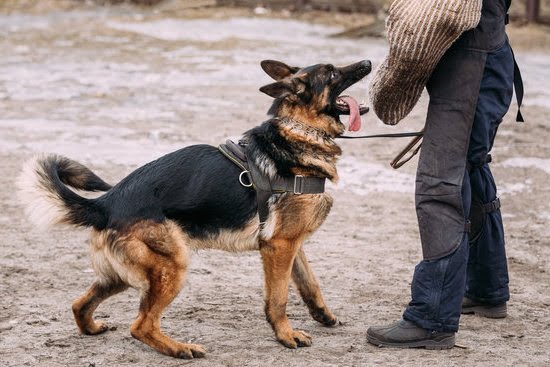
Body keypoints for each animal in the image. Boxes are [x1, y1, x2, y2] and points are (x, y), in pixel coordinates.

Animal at [17, 59, 370, 360]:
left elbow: (310, 283)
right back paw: (180, 348)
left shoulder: (290, 244)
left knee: (79, 305)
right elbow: (279, 299)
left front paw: (324, 316)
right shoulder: (279, 247)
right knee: (141, 325)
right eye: (333, 73)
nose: (367, 62)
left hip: (122, 275)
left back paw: (92, 328)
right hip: (172, 265)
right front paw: (286, 335)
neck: (299, 129)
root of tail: (106, 202)